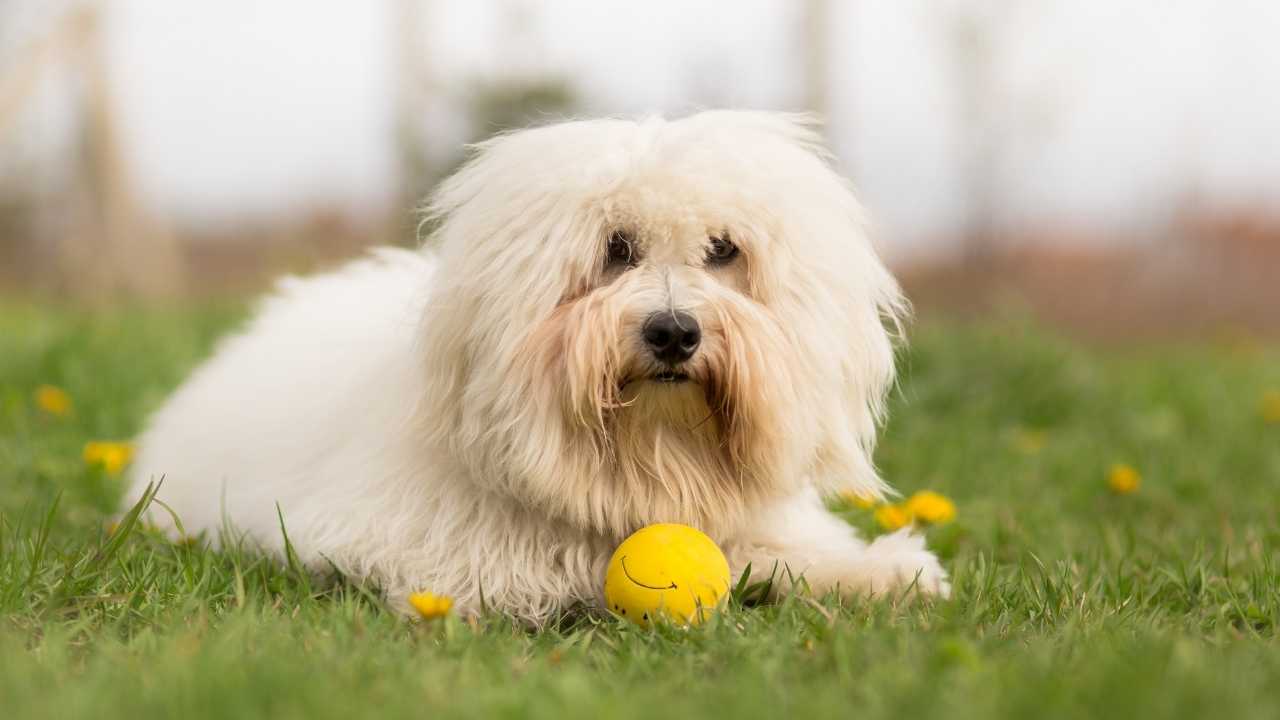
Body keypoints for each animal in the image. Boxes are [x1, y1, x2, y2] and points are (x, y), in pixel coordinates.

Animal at [127, 109, 952, 620]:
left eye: (724, 250)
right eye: (616, 248)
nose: (674, 332)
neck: (649, 456)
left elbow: (783, 549)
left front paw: (884, 573)